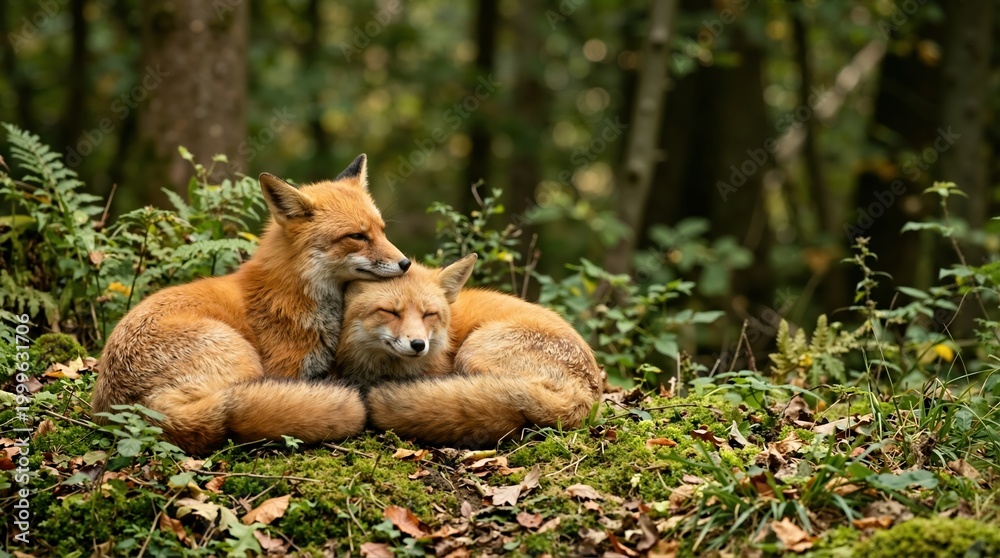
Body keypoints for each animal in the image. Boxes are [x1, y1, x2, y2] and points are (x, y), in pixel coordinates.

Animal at [92, 155, 411, 454]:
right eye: (357, 236)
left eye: (382, 231)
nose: (405, 263)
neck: (296, 289)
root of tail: (141, 411)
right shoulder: (287, 370)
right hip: (244, 359)